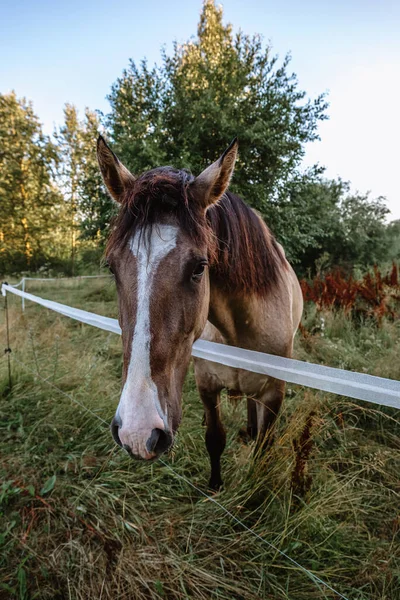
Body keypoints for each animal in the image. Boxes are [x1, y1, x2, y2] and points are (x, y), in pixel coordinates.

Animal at [97, 135, 304, 488]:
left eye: (199, 268)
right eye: (112, 267)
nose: (137, 432)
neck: (238, 333)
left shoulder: (274, 394)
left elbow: (263, 450)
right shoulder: (206, 385)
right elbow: (215, 438)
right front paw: (215, 487)